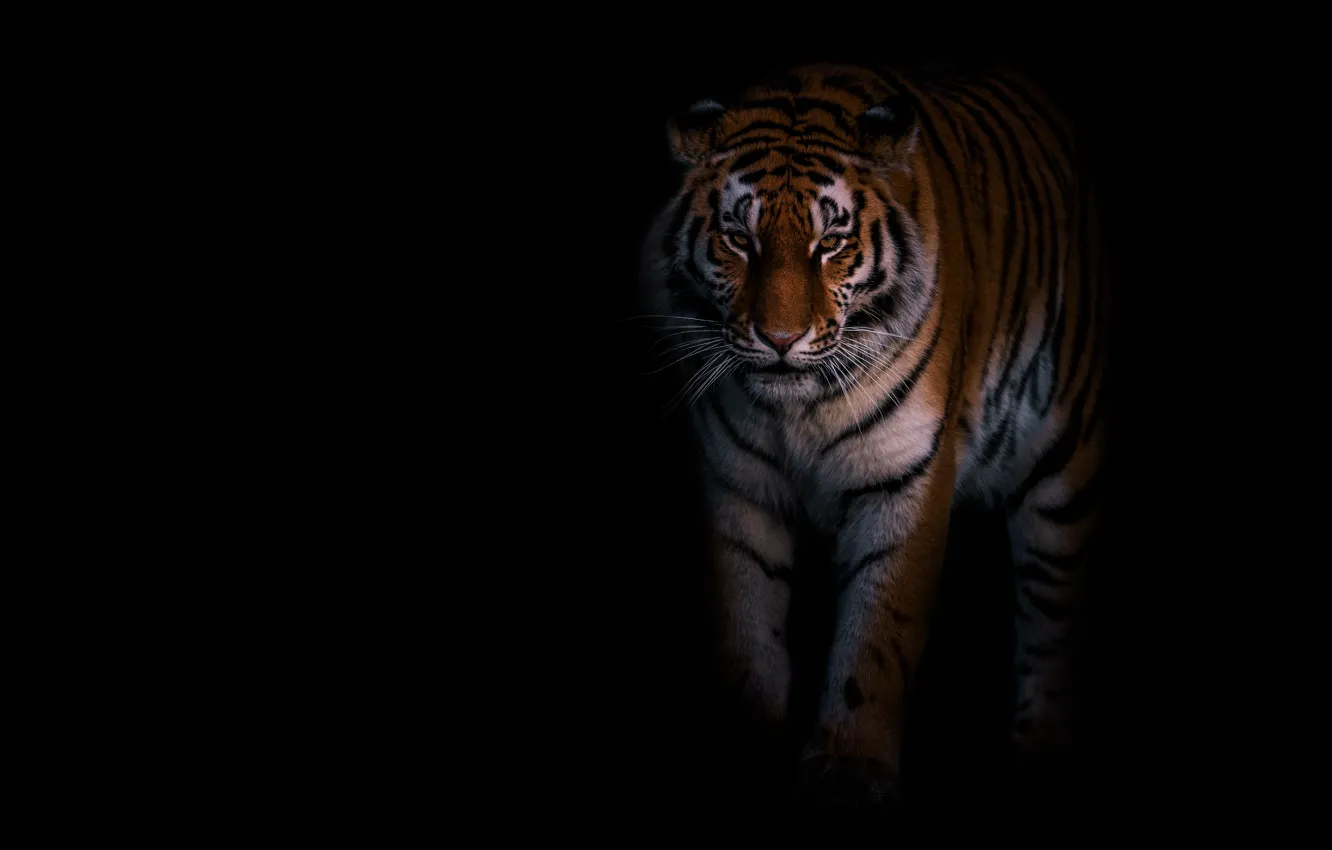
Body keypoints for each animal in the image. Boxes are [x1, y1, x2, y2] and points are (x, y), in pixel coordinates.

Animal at [636, 62, 1108, 813]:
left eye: (829, 243)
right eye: (740, 239)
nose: (780, 339)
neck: (798, 410)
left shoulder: (903, 479)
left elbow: (878, 631)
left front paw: (850, 767)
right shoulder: (738, 487)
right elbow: (745, 619)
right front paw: (746, 743)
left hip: (1064, 475)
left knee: (1053, 619)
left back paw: (1038, 756)